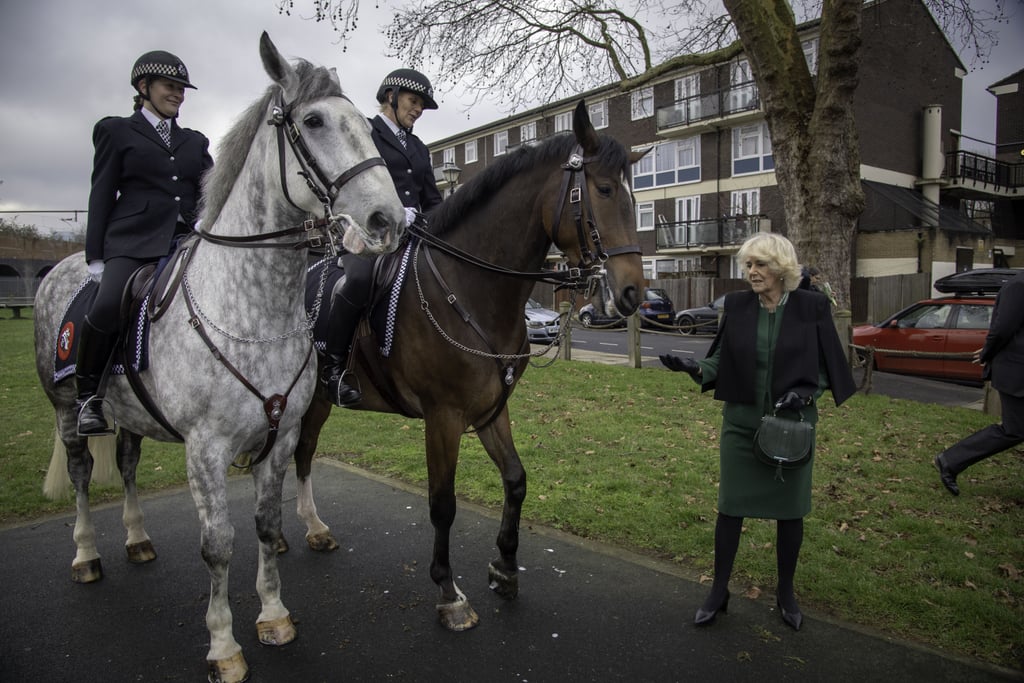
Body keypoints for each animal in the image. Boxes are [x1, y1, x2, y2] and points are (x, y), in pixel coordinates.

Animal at [36, 33, 403, 683]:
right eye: (313, 121)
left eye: (366, 124)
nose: (390, 220)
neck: (254, 311)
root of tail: (66, 265)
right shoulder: (205, 449)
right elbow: (218, 545)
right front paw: (224, 646)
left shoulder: (280, 437)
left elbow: (266, 525)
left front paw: (274, 617)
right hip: (64, 409)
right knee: (80, 474)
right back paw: (86, 554)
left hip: (131, 417)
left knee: (126, 466)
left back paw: (136, 540)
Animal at [288, 100, 643, 630]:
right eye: (602, 190)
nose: (633, 291)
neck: (471, 287)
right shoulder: (443, 416)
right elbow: (442, 503)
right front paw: (448, 591)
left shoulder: (492, 409)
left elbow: (516, 480)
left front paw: (505, 567)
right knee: (298, 452)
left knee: (300, 452)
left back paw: (303, 530)